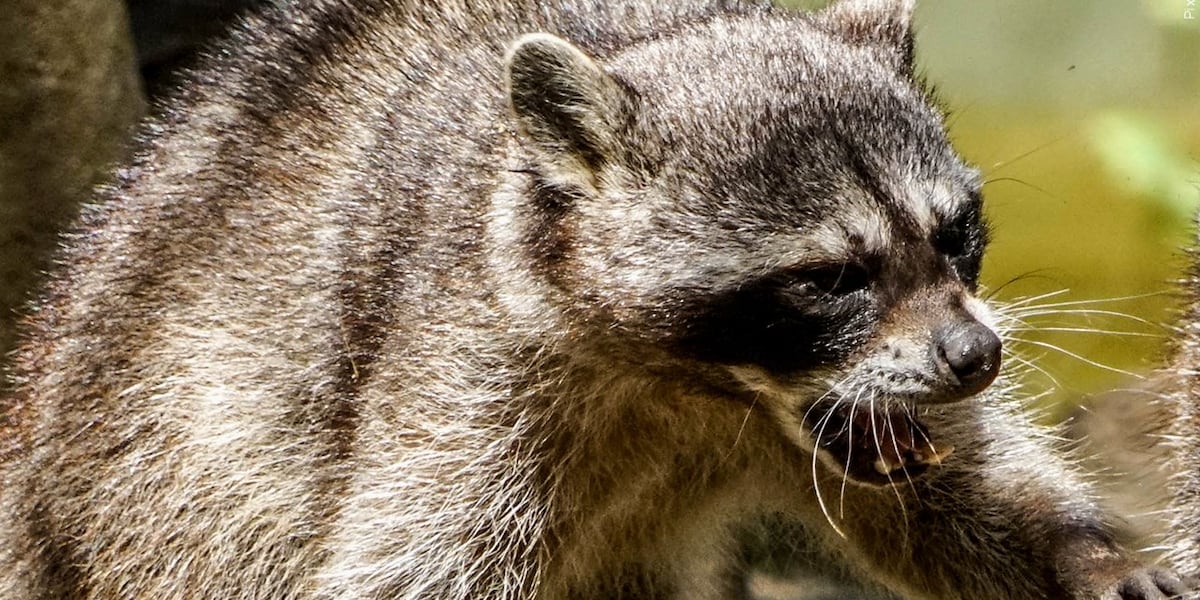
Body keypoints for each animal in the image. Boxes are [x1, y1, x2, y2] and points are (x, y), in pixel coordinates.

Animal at [0, 0, 1188, 598]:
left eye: (955, 235)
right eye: (828, 279)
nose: (976, 359)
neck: (699, 390)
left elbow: (961, 501)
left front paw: (1086, 552)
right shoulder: (463, 366)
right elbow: (405, 564)